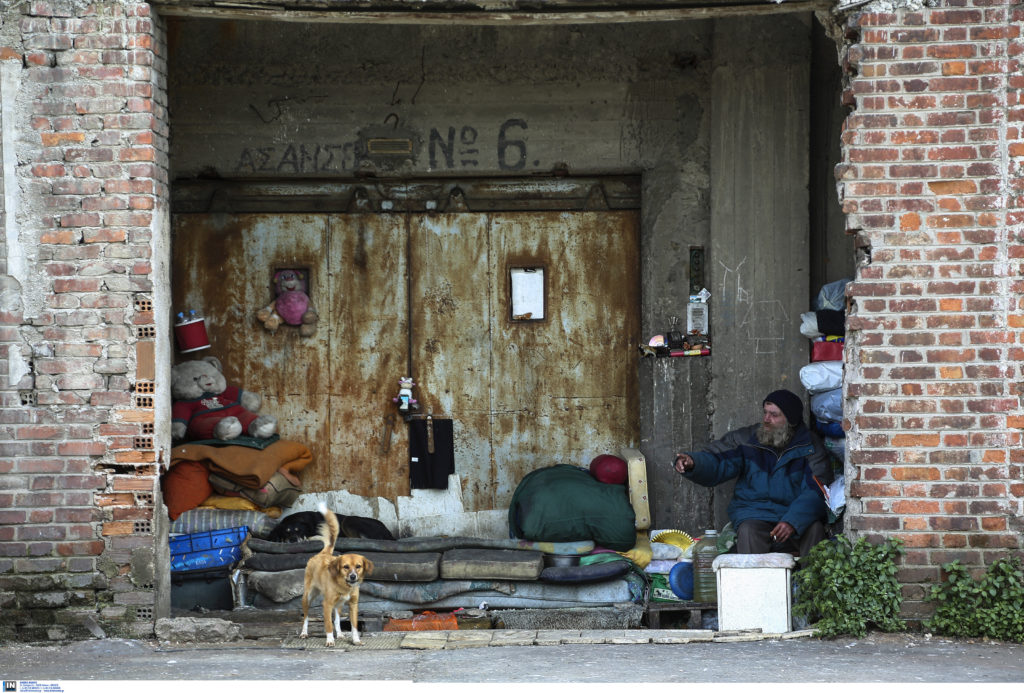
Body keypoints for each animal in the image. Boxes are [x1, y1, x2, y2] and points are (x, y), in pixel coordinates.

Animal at [299, 503, 374, 642]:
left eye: (358, 566)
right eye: (345, 567)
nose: (353, 576)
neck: (344, 585)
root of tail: (323, 554)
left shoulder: (353, 604)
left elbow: (353, 625)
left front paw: (356, 640)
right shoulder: (327, 604)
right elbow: (328, 623)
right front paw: (329, 640)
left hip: (338, 604)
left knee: (337, 620)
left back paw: (339, 634)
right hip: (307, 597)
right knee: (306, 617)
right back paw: (304, 633)